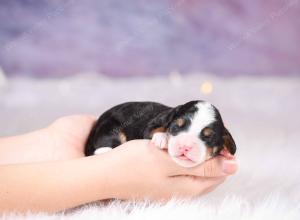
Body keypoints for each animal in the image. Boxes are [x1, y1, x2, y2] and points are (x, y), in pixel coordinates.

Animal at [85, 101, 237, 167]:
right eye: (176, 127)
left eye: (208, 137)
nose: (185, 146)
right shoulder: (152, 123)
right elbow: (155, 129)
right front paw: (163, 137)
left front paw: (225, 152)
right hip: (110, 126)